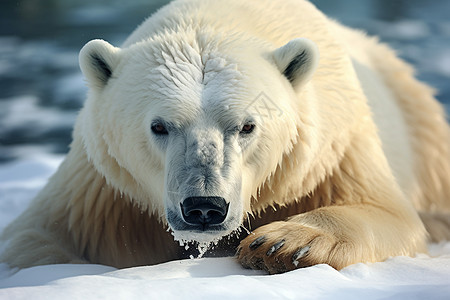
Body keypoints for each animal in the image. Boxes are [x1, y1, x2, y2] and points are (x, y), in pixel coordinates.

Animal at [2, 0, 450, 274]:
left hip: (417, 120)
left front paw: (280, 244)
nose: (204, 207)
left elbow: (388, 213)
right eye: (159, 126)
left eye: (247, 126)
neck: (218, 16)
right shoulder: (105, 190)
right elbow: (35, 239)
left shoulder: (329, 154)